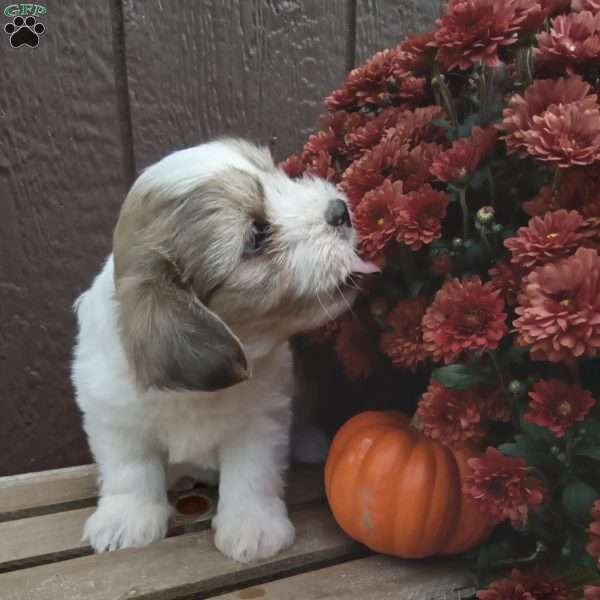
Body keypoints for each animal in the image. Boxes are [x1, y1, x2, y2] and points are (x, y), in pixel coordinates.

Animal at [70, 139, 378, 564]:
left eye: (276, 175)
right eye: (256, 235)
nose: (339, 210)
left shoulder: (260, 419)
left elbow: (250, 473)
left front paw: (252, 526)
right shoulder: (113, 415)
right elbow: (128, 468)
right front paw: (126, 518)